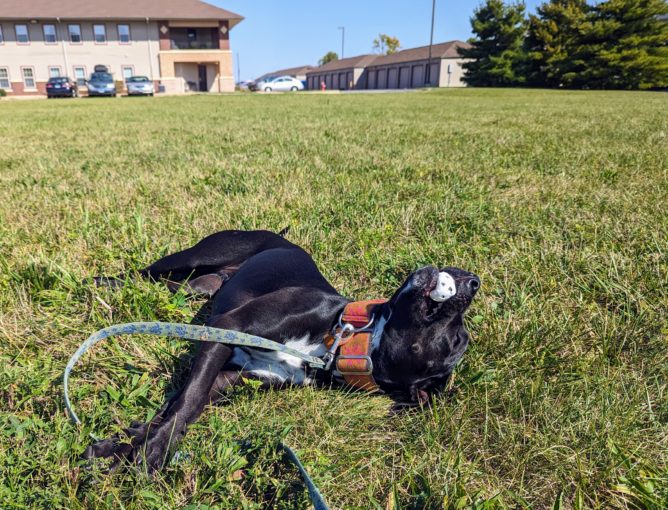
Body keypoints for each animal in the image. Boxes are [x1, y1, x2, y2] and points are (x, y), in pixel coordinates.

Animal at [84, 229, 480, 472]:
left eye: (455, 341)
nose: (472, 280)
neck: (335, 342)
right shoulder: (228, 326)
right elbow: (187, 401)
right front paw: (148, 450)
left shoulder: (229, 377)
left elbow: (179, 405)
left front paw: (128, 446)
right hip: (201, 254)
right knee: (143, 272)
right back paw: (97, 283)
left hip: (197, 287)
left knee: (163, 284)